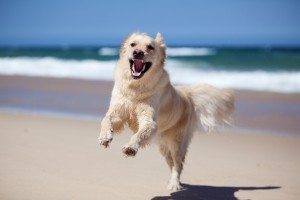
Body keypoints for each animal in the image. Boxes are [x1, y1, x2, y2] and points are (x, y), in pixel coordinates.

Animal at [98, 32, 234, 191]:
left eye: (150, 47)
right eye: (133, 44)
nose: (137, 53)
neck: (136, 87)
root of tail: (187, 94)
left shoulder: (149, 120)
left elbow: (139, 134)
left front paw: (131, 147)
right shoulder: (118, 112)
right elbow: (106, 120)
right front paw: (105, 137)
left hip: (177, 142)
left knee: (178, 164)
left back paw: (175, 184)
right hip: (164, 147)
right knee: (172, 163)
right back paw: (172, 181)